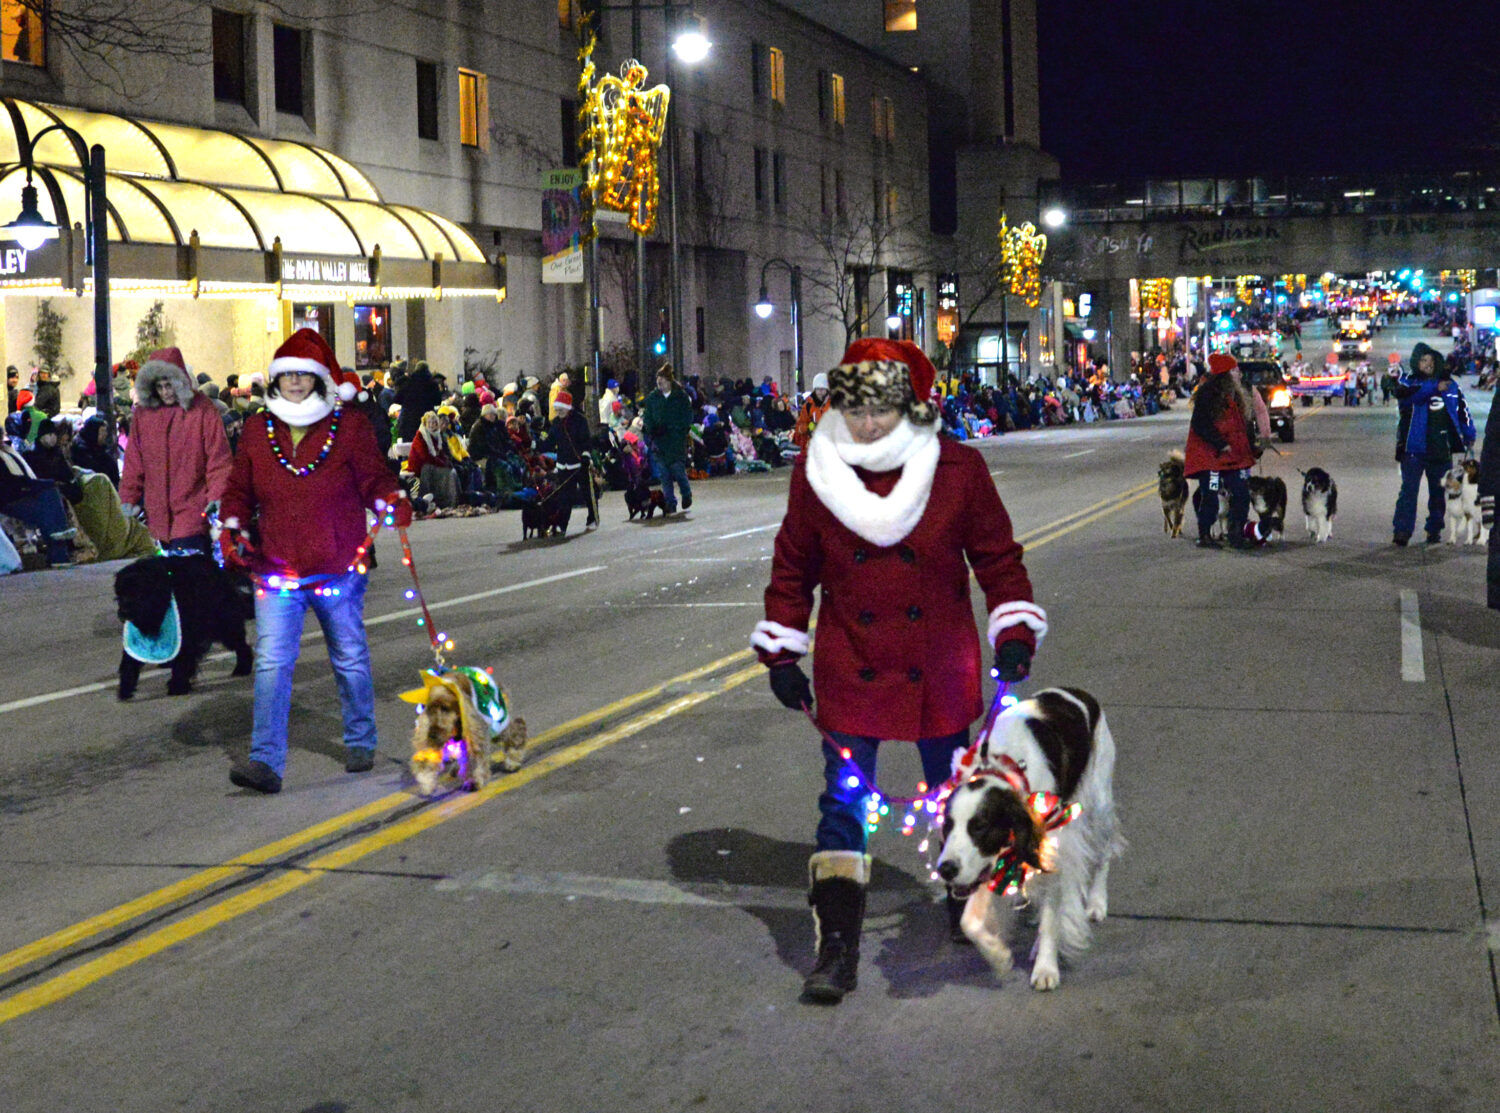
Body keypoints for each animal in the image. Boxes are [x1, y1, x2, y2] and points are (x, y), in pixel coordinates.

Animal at [114, 555, 253, 702]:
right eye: (121, 594)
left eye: (138, 593)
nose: (123, 612)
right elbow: (129, 660)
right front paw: (125, 688)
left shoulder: (185, 634)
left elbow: (182, 660)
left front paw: (177, 686)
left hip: (225, 624)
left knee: (242, 645)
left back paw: (242, 668)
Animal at [402, 666, 531, 798]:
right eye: (430, 709)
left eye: (445, 708)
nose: (432, 735)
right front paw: (427, 783)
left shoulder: (473, 730)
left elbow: (474, 758)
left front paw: (474, 781)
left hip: (497, 720)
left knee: (516, 728)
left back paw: (513, 762)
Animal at [936, 690, 1128, 996]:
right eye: (947, 825)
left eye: (979, 827)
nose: (946, 869)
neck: (1002, 770)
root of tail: (1078, 694)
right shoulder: (988, 862)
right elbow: (969, 920)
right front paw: (998, 954)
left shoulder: (1053, 847)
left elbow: (1052, 918)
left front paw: (1046, 969)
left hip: (1098, 800)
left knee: (1104, 851)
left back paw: (1097, 903)